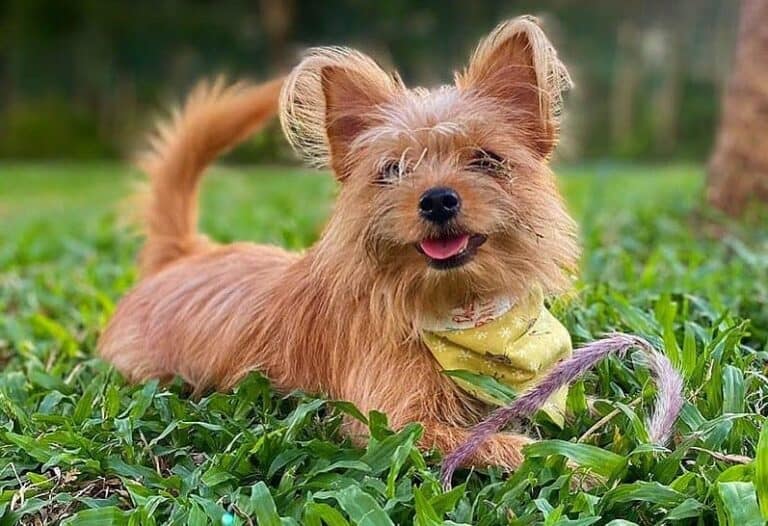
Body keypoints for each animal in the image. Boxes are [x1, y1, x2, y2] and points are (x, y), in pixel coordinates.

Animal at [103, 16, 584, 472]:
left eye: (486, 160)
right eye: (392, 170)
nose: (437, 200)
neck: (459, 310)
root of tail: (185, 253)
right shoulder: (397, 425)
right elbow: (502, 445)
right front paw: (580, 467)